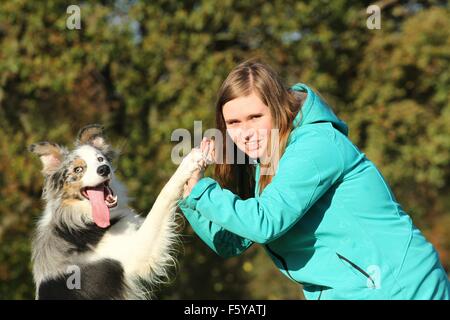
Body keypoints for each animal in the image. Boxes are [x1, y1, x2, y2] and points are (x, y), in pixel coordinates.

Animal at [28, 124, 204, 298]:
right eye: (78, 169)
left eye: (100, 159)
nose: (104, 169)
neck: (80, 218)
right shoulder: (137, 250)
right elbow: (163, 196)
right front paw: (190, 161)